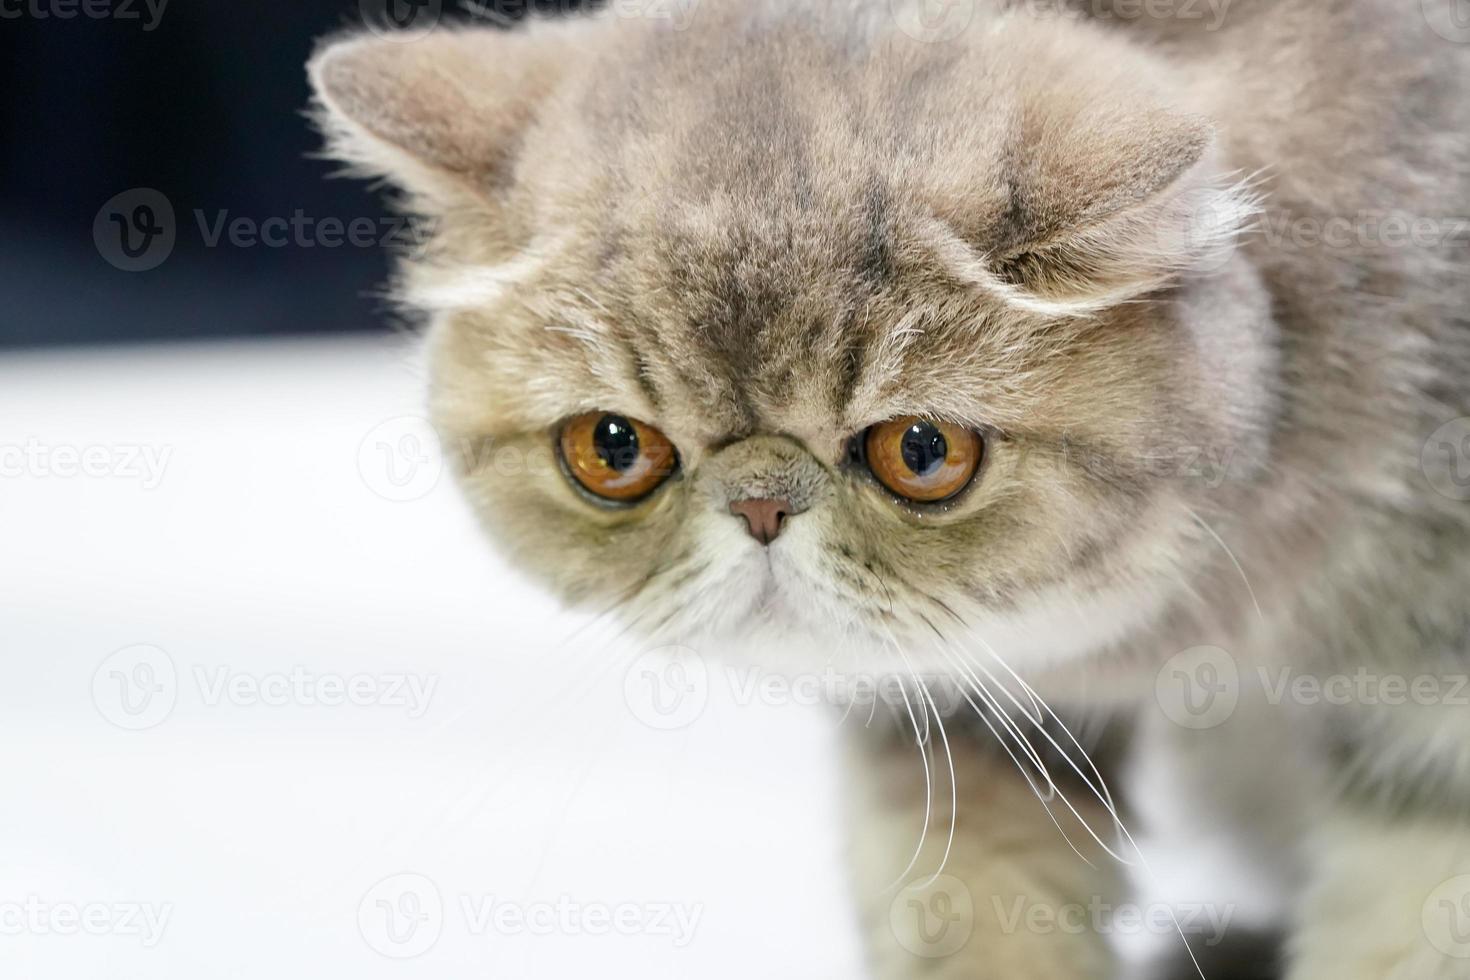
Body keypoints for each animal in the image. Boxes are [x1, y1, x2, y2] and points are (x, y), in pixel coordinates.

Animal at [307, 3, 1470, 975]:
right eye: (612, 447)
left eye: (922, 450)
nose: (761, 504)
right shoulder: (965, 723)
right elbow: (978, 912)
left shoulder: (1432, 740)